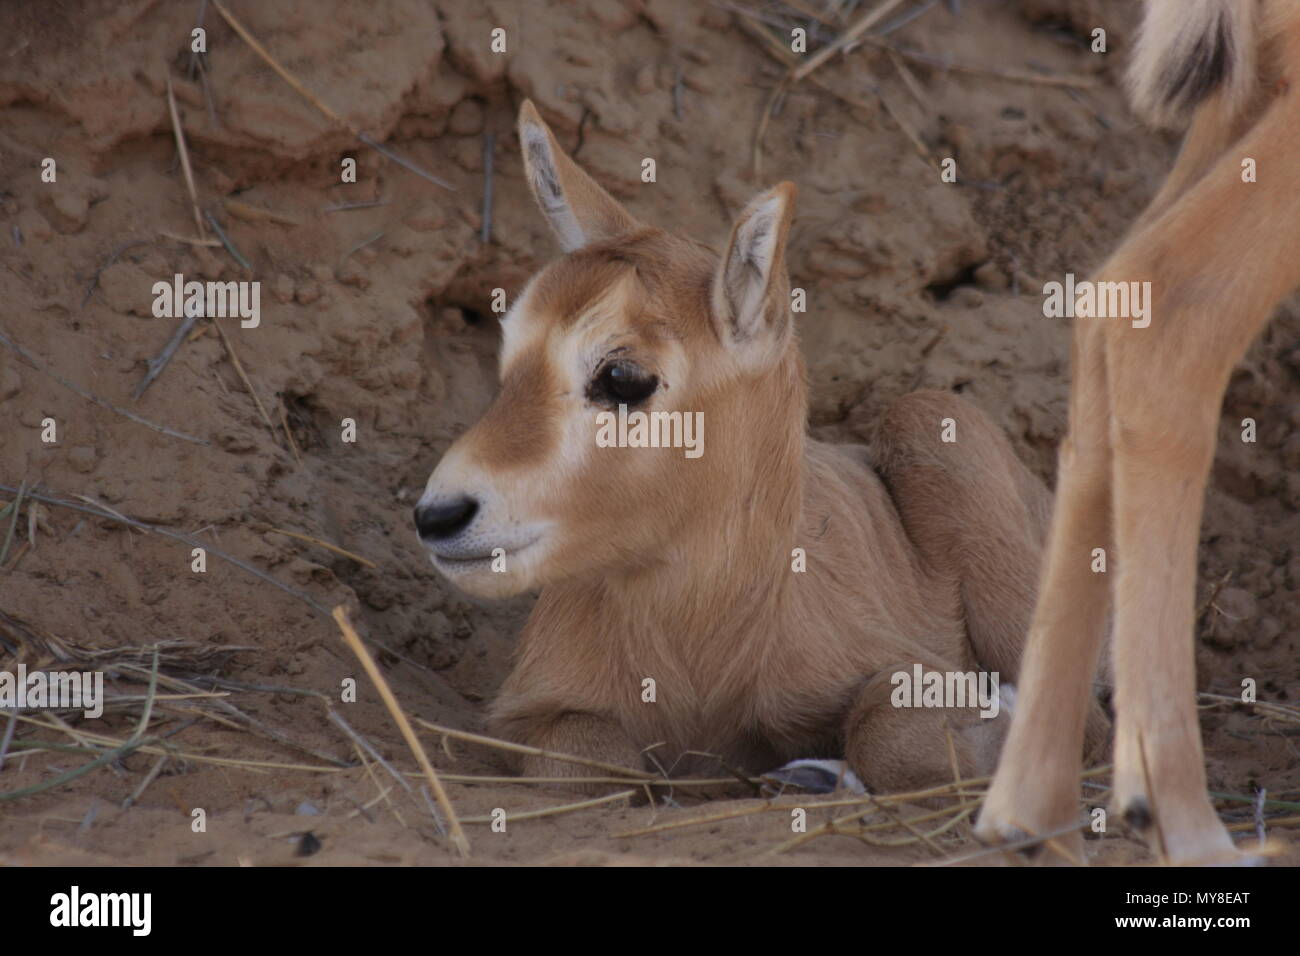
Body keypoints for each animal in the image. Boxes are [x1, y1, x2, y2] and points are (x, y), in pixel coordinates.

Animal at [416, 100, 1086, 796]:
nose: (439, 516)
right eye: (510, 354)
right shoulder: (534, 715)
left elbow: (892, 730)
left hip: (930, 423)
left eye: (622, 376)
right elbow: (588, 765)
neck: (699, 646)